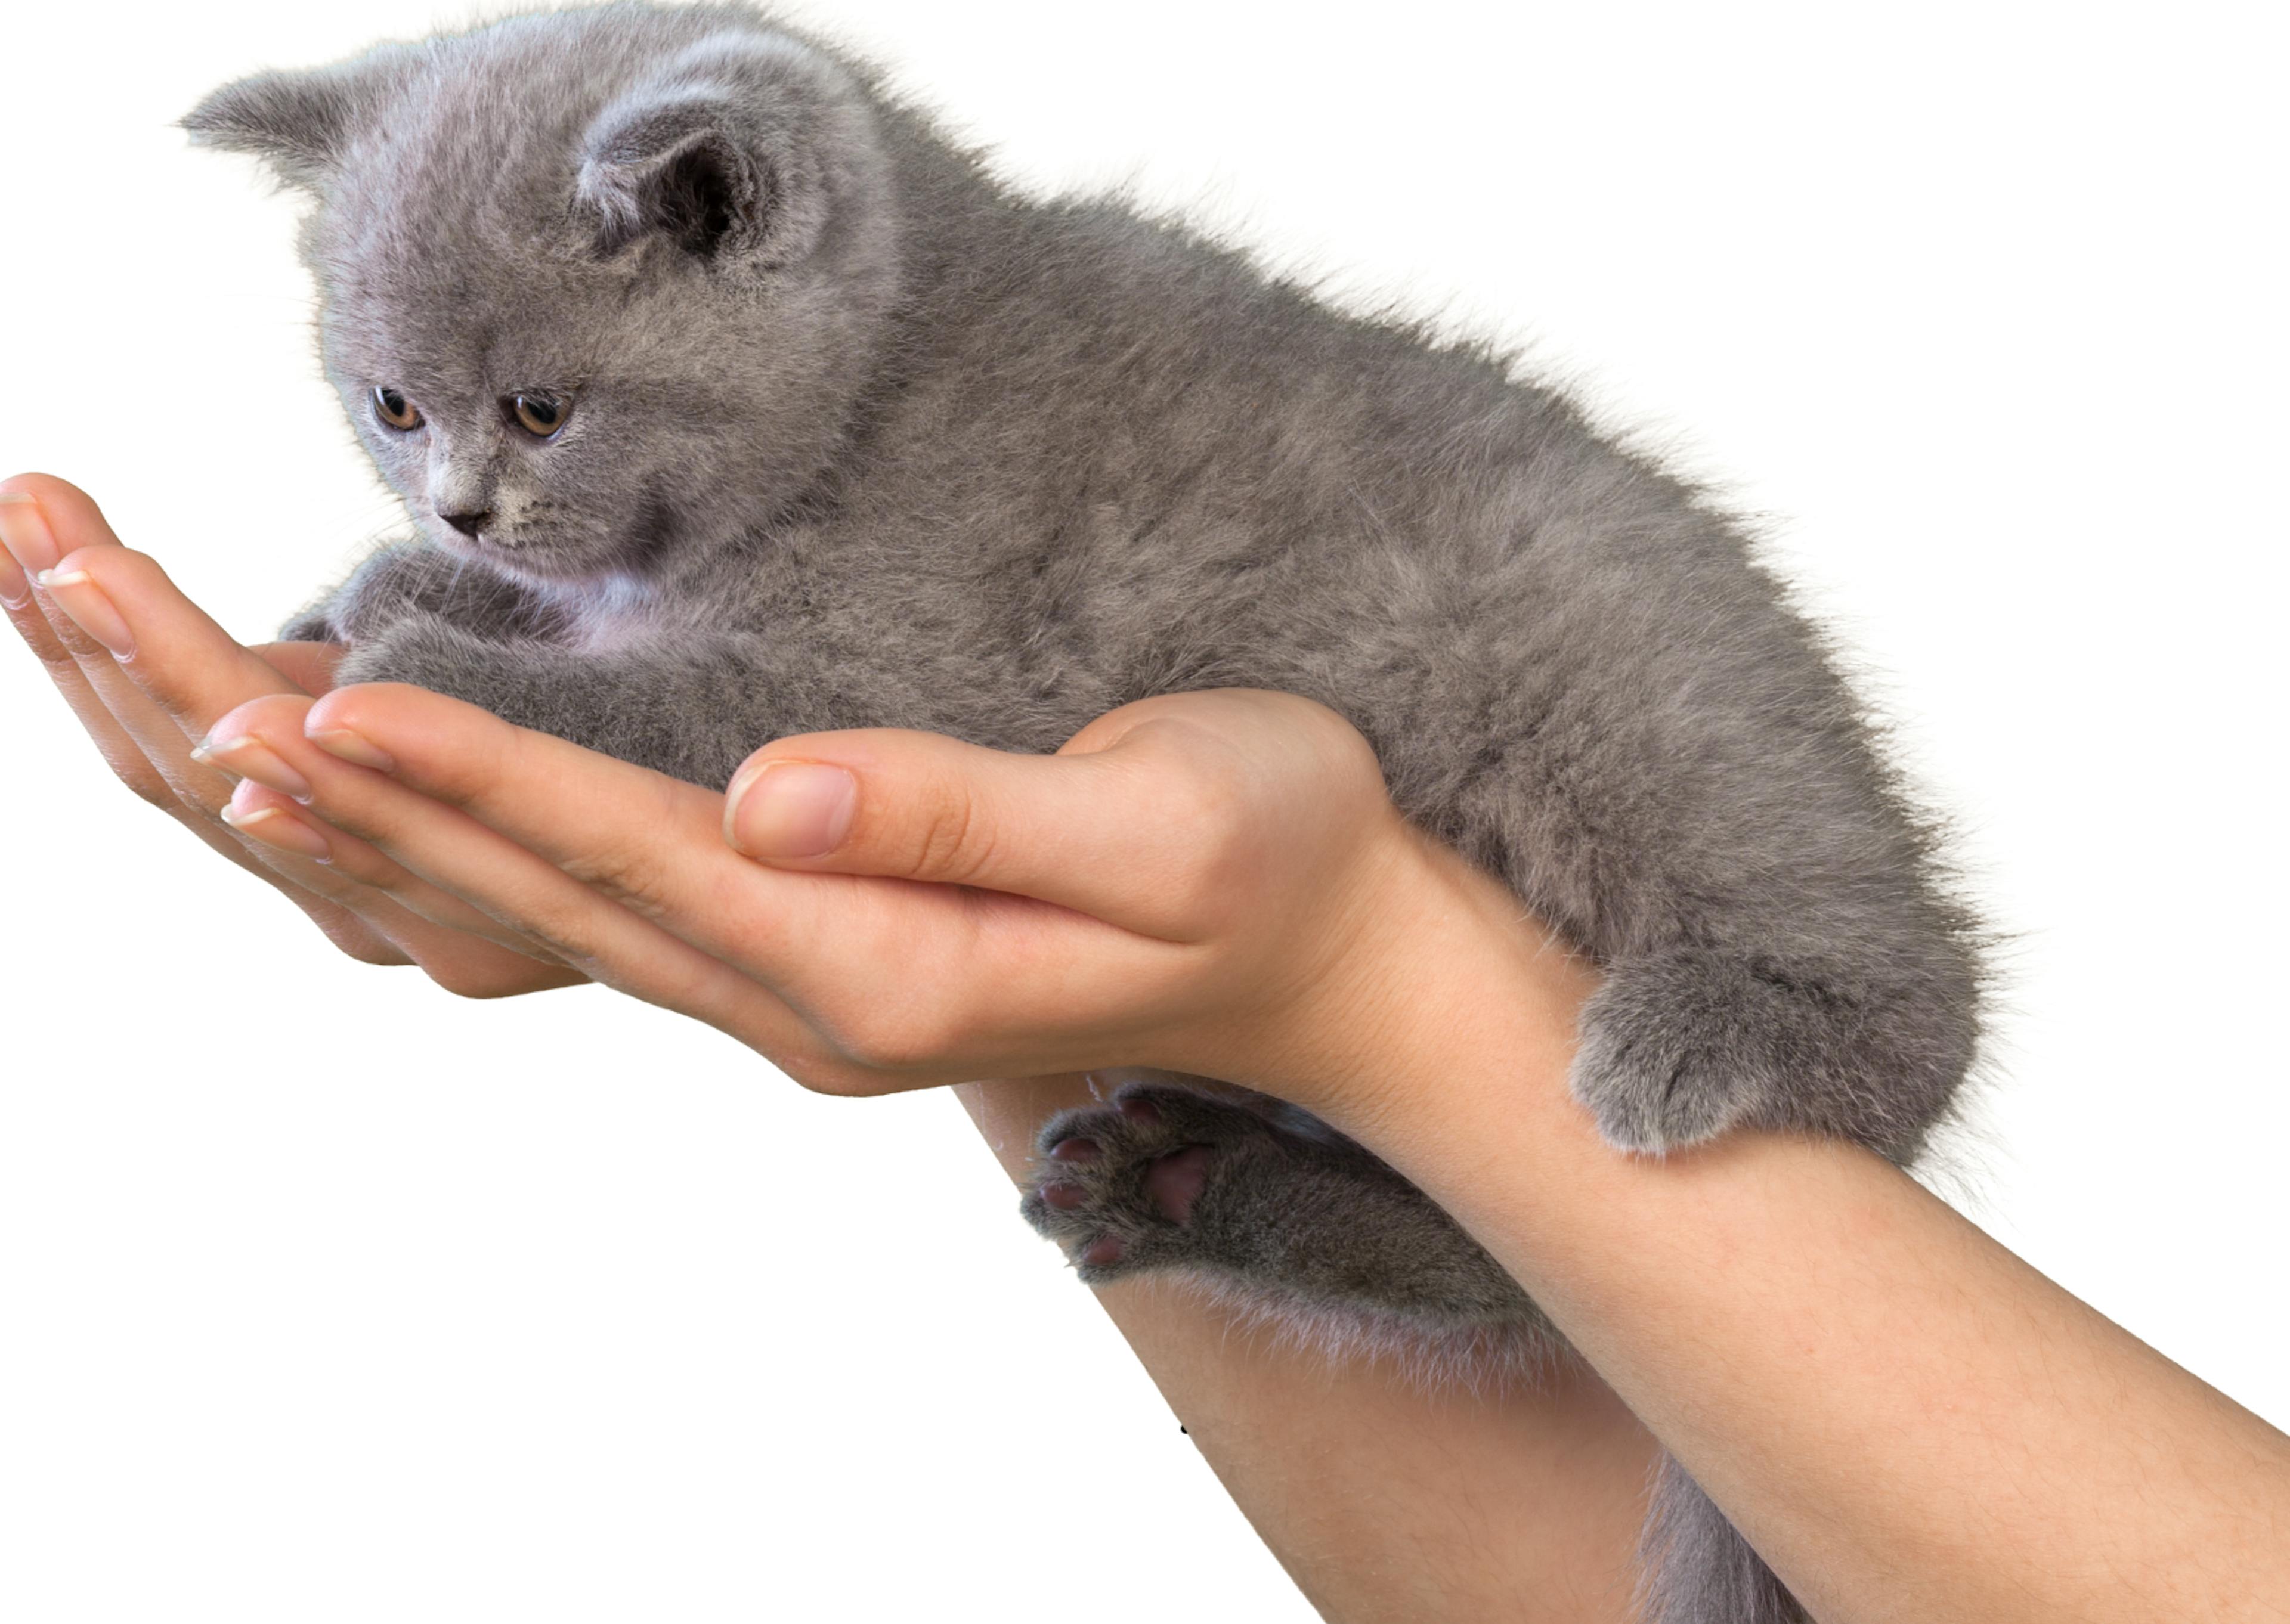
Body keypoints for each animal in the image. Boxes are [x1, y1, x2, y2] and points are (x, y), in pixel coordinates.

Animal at [192, 6, 1988, 1612]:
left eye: (542, 410)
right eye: (394, 408)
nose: (460, 511)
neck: (882, 376)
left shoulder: (912, 676)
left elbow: (655, 694)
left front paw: (435, 660)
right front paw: (396, 588)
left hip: (1643, 709)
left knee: (1890, 994)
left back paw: (1701, 1035)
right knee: (1521, 1284)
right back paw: (1195, 1186)